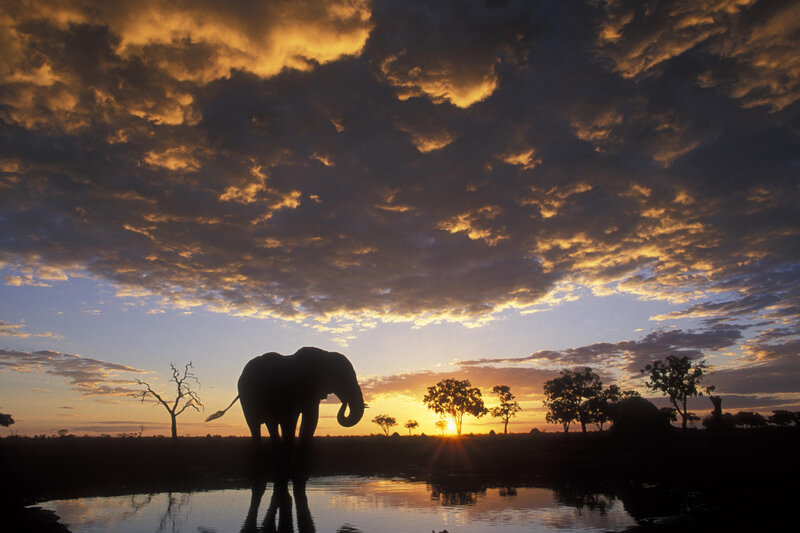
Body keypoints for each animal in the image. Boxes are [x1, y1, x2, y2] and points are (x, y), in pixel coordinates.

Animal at [207, 347, 364, 480]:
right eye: (342, 378)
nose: (344, 402)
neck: (325, 354)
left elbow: (310, 420)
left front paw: (298, 473)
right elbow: (294, 421)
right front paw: (291, 473)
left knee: (271, 426)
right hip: (247, 398)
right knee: (255, 426)